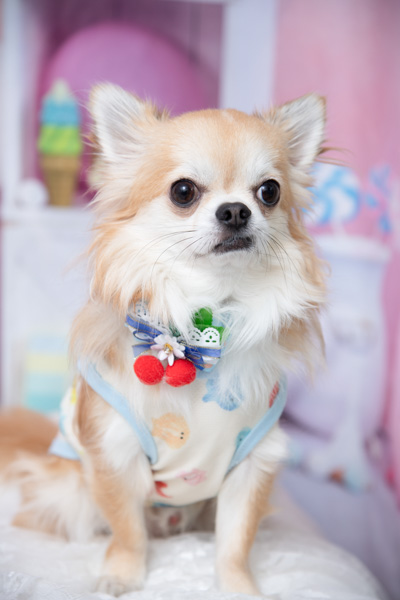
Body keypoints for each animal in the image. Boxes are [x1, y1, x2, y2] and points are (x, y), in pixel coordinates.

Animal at [1, 84, 326, 596]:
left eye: (269, 191)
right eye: (183, 192)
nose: (236, 210)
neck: (209, 310)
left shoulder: (253, 464)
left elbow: (236, 541)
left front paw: (239, 586)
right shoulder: (114, 455)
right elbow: (128, 528)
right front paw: (123, 573)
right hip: (74, 490)